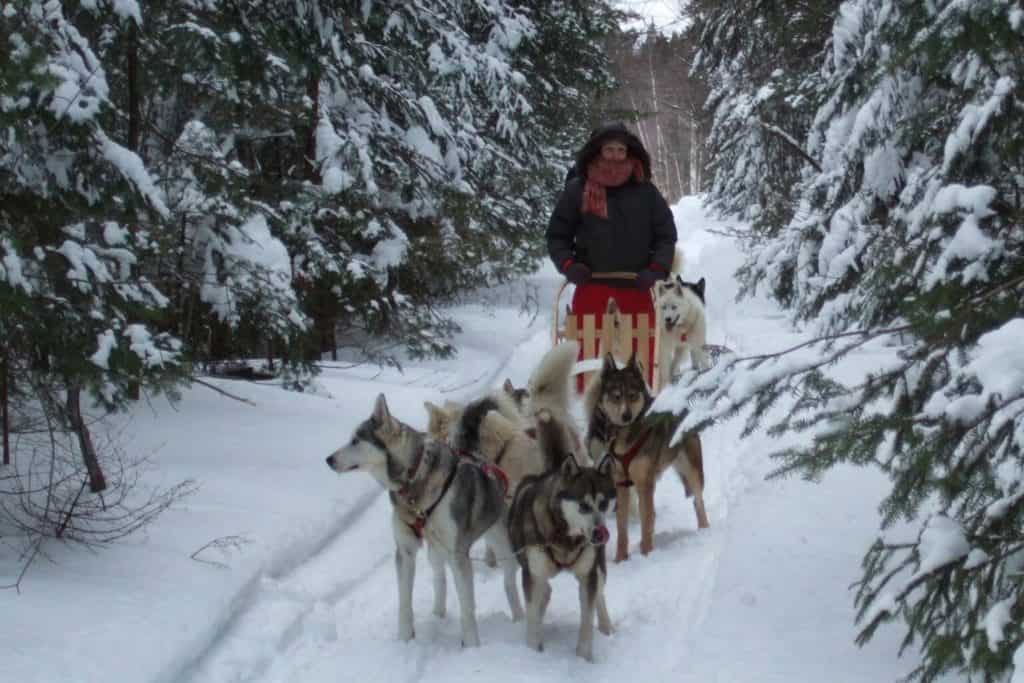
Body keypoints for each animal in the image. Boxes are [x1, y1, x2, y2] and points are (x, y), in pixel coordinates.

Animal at [323, 393, 524, 651]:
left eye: (356, 440)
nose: (328, 459)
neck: (413, 482)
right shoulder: (405, 551)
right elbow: (404, 603)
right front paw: (404, 640)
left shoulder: (458, 554)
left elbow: (467, 607)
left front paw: (471, 646)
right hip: (436, 550)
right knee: (439, 578)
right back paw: (438, 614)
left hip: (501, 547)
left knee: (509, 582)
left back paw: (518, 619)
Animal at [505, 411, 610, 663]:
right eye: (583, 505)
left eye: (603, 503)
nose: (600, 533)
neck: (565, 538)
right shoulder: (533, 574)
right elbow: (533, 616)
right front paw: (532, 651)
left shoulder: (587, 575)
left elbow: (587, 618)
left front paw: (584, 656)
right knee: (543, 596)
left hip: (598, 568)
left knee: (600, 595)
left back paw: (607, 627)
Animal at [581, 350, 708, 565]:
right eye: (616, 396)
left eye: (632, 395)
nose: (626, 415)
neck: (624, 437)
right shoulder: (621, 485)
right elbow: (622, 527)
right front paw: (620, 558)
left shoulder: (644, 483)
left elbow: (646, 521)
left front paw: (647, 555)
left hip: (692, 472)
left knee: (698, 502)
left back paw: (705, 530)